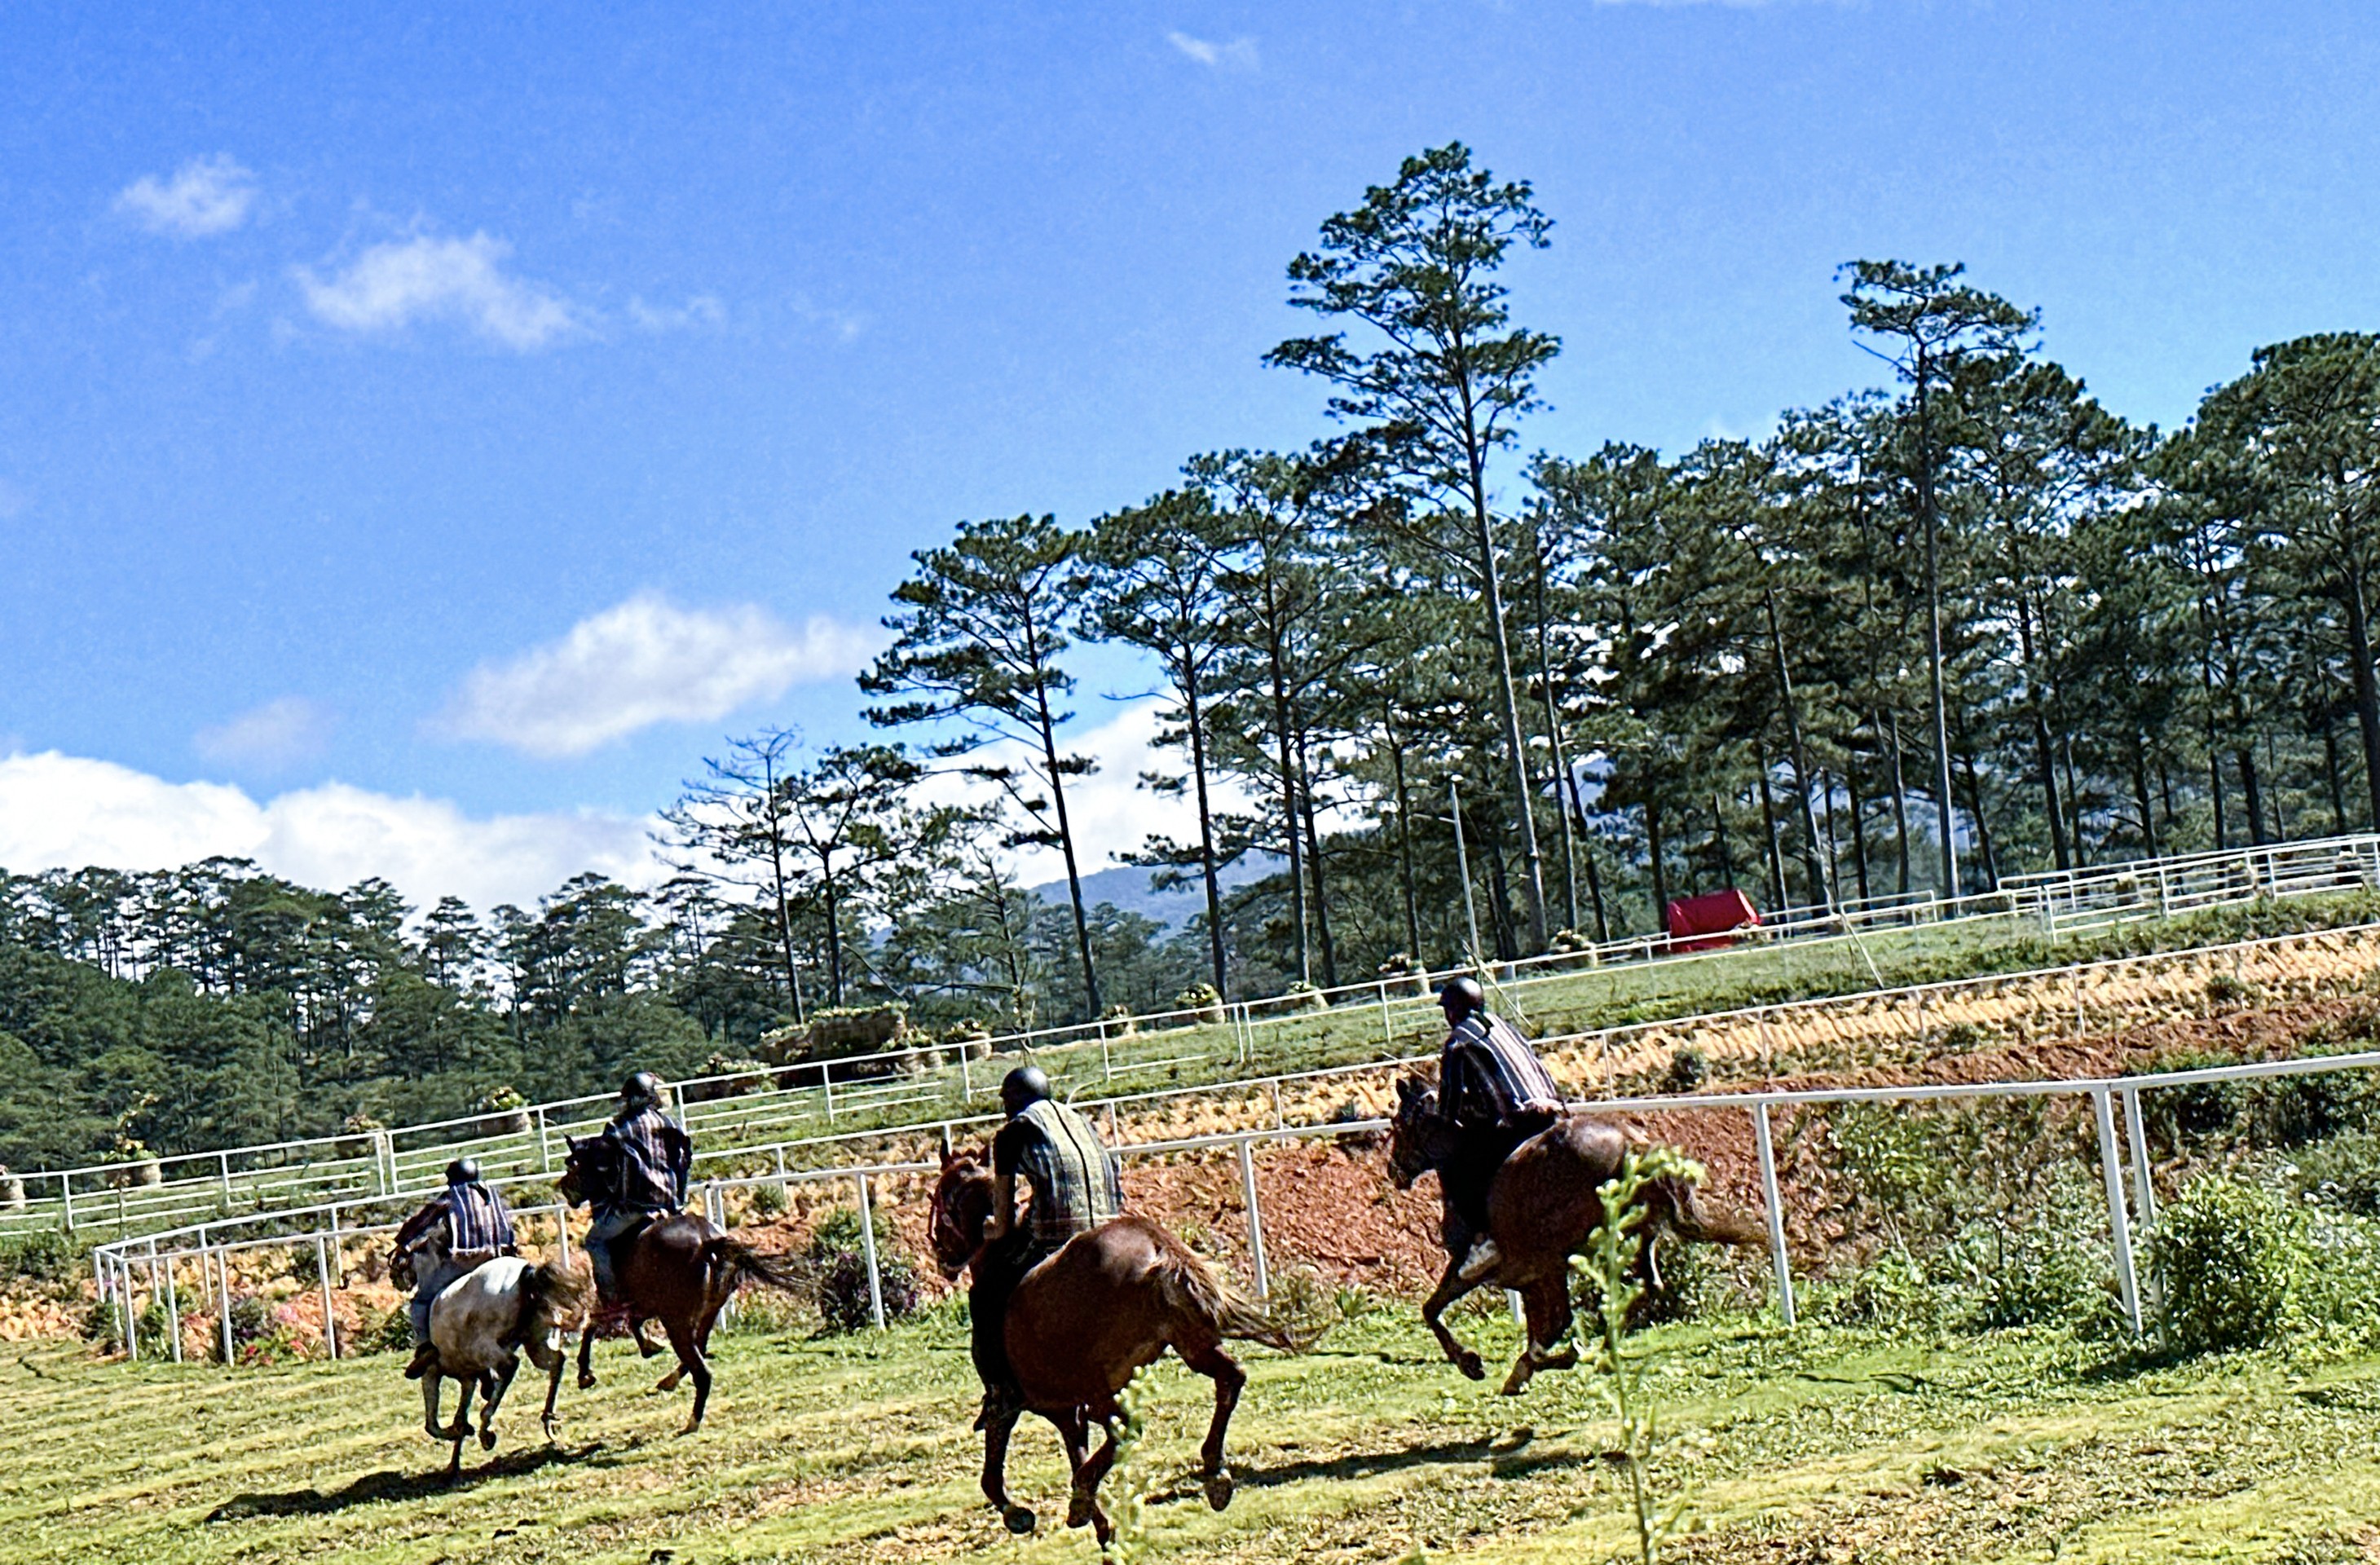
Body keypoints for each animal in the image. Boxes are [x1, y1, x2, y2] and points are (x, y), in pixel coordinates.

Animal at [559, 1131, 809, 1426]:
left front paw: (585, 1374)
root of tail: (707, 1240)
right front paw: (649, 1347)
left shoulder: (614, 1305)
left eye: (573, 1163)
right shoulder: (644, 1305)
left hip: (676, 1320)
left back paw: (691, 1421)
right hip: (706, 1313)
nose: (564, 1188)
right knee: (698, 1349)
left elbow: (590, 1328)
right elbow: (633, 1324)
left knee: (702, 1371)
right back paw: (671, 1382)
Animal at [1390, 1074, 1761, 1389]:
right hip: (1633, 1237)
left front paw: (1470, 1362)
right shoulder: (1528, 1278)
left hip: (1560, 1253)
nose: (1393, 1170)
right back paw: (1593, 1354)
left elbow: (1432, 1309)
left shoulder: (1486, 1266)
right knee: (1645, 1286)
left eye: (1397, 1125)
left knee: (1569, 1313)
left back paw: (1556, 1359)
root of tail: (1632, 1145)